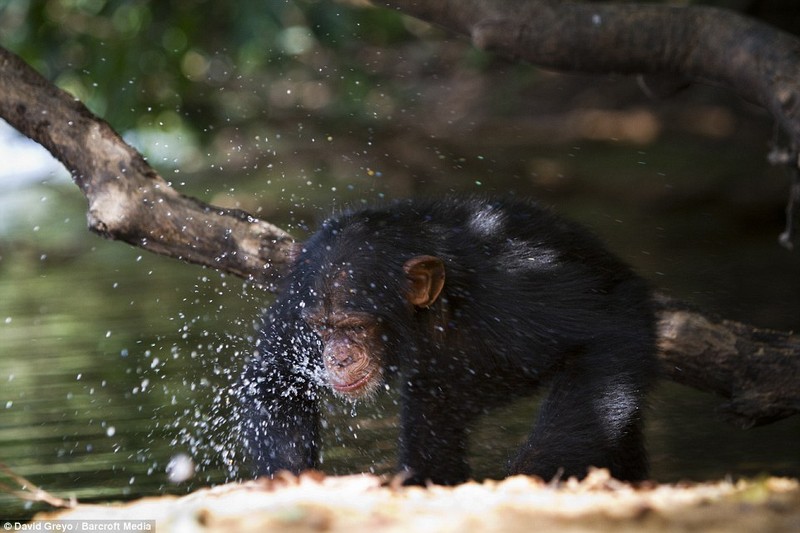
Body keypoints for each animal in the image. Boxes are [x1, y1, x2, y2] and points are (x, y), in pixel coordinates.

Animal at [238, 197, 656, 484]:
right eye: (322, 327)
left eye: (355, 326)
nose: (337, 358)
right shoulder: (300, 294)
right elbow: (276, 373)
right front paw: (291, 481)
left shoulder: (519, 286)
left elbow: (608, 332)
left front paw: (528, 480)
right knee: (431, 410)